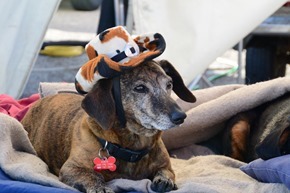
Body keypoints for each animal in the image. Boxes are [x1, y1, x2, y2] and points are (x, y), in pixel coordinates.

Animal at [21, 59, 196, 192]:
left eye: (169, 84)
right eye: (140, 88)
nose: (180, 117)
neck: (133, 148)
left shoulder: (166, 166)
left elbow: (167, 172)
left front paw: (165, 180)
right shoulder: (71, 169)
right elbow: (92, 176)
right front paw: (101, 188)